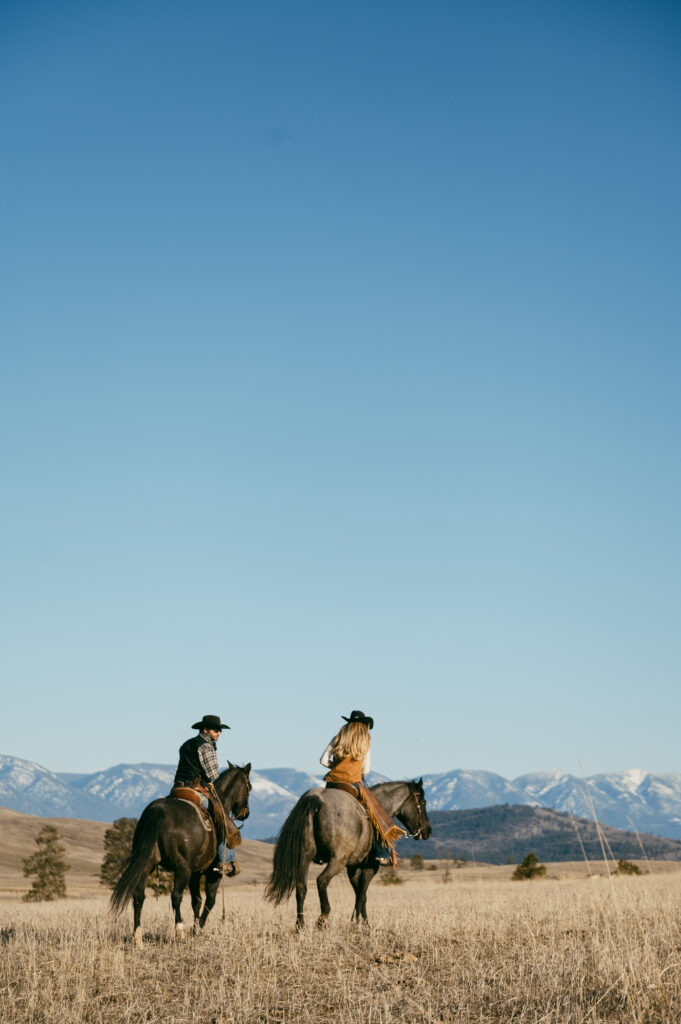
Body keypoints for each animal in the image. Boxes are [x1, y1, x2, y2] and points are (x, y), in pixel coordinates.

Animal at [110, 765, 250, 937]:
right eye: (248, 786)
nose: (245, 813)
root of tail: (158, 810)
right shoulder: (212, 874)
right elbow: (209, 901)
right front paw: (198, 929)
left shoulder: (195, 874)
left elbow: (196, 901)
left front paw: (195, 929)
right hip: (182, 869)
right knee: (176, 896)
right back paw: (180, 931)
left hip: (146, 865)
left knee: (138, 896)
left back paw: (138, 936)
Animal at [266, 778, 430, 933]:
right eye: (423, 802)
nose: (428, 831)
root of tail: (316, 799)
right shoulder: (370, 868)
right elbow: (362, 895)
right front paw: (364, 925)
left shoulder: (353, 868)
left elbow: (358, 894)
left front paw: (357, 922)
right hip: (337, 860)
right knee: (322, 880)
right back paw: (322, 918)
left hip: (304, 858)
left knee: (301, 887)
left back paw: (300, 925)